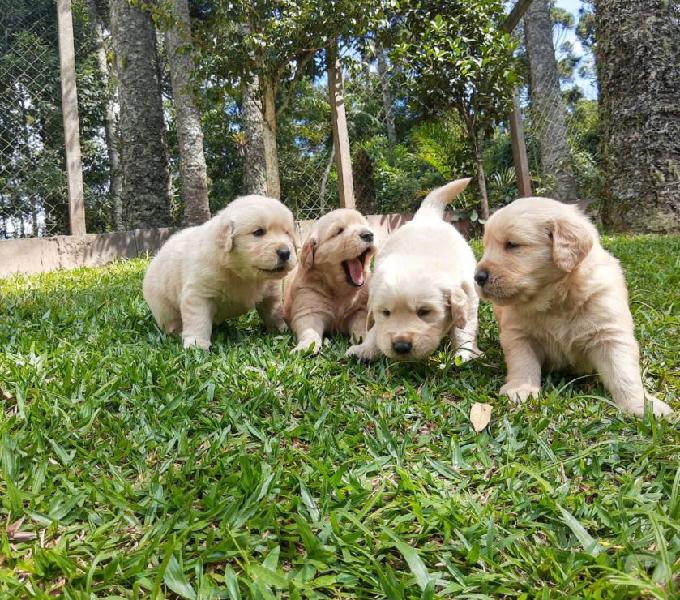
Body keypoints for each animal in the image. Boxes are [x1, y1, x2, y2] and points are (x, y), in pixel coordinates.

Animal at [145, 195, 296, 350]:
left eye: (287, 233)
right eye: (258, 232)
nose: (285, 252)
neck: (240, 273)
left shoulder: (270, 292)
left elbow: (273, 312)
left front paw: (281, 330)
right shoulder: (198, 294)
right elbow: (198, 321)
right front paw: (196, 345)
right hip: (163, 308)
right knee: (172, 322)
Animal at [282, 210, 378, 354]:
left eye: (365, 225)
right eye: (339, 231)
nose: (368, 235)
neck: (340, 291)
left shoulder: (360, 309)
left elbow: (360, 326)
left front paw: (363, 343)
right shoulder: (309, 307)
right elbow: (309, 330)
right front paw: (305, 347)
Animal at [346, 178, 484, 364]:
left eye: (424, 312)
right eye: (386, 312)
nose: (401, 346)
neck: (418, 258)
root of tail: (427, 215)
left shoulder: (469, 293)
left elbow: (465, 327)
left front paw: (465, 353)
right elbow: (375, 328)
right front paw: (365, 349)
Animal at [476, 197, 672, 418]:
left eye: (512, 245)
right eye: (486, 246)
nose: (478, 277)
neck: (555, 300)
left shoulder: (609, 333)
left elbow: (623, 373)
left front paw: (642, 404)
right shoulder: (518, 335)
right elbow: (522, 363)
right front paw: (521, 389)